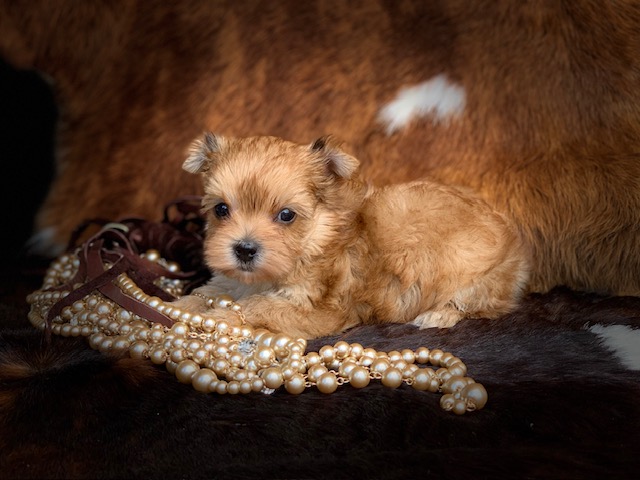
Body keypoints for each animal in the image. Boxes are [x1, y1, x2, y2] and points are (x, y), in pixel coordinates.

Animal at [172, 133, 528, 340]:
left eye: (286, 215)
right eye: (221, 209)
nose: (244, 249)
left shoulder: (320, 311)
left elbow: (260, 307)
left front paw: (219, 317)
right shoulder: (230, 281)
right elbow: (205, 292)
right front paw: (180, 305)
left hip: (480, 276)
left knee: (476, 304)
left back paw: (438, 314)